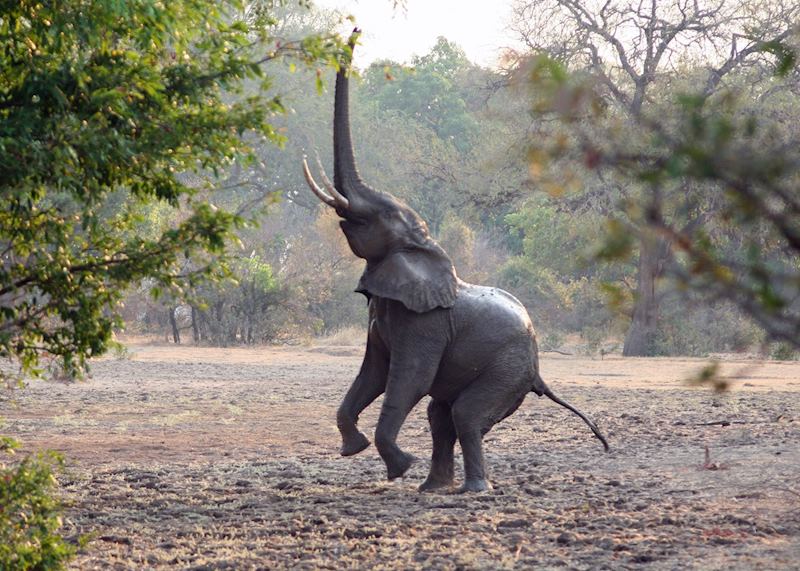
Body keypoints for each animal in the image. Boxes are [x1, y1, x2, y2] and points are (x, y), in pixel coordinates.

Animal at [302, 29, 609, 493]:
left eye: (381, 217)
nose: (355, 31)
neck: (426, 247)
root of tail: (538, 369)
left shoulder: (424, 325)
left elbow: (407, 380)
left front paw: (399, 467)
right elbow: (373, 374)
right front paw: (354, 449)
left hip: (508, 368)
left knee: (464, 415)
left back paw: (472, 490)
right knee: (440, 416)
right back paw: (435, 488)